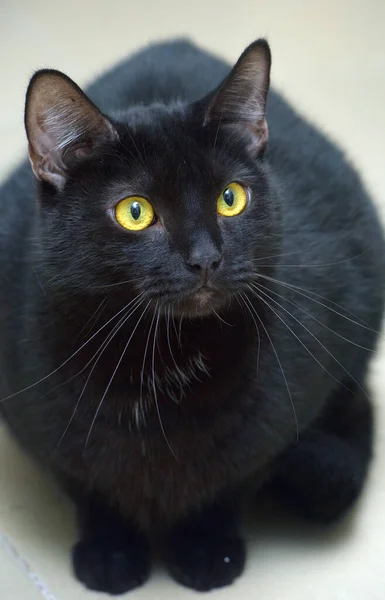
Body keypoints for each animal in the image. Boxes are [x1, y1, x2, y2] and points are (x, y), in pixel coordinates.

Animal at [0, 38, 384, 596]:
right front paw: (110, 550)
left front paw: (205, 546)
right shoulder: (38, 420)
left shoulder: (282, 411)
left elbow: (235, 476)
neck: (163, 357)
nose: (206, 258)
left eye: (231, 198)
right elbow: (87, 479)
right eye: (135, 211)